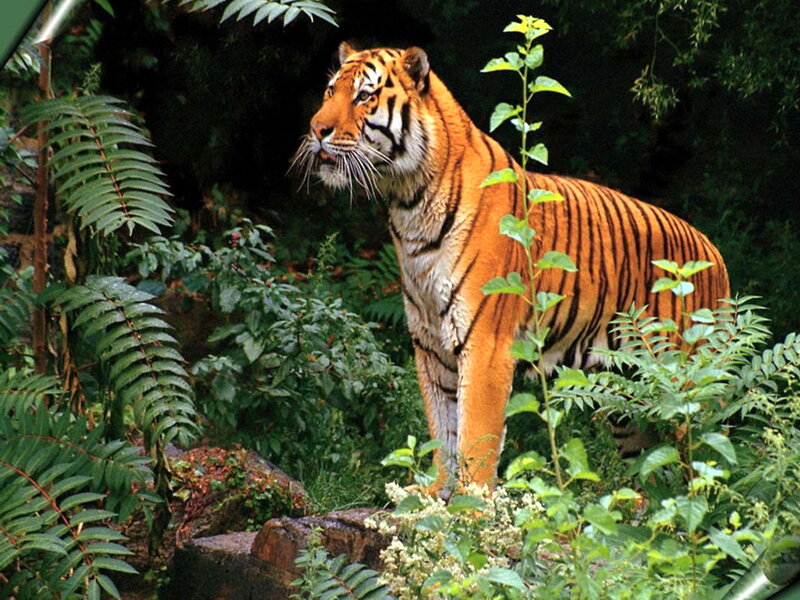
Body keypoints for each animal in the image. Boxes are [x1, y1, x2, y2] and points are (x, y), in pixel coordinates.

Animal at [293, 42, 730, 494]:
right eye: (330, 91)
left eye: (364, 96)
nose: (316, 129)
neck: (409, 202)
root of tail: (714, 253)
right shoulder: (430, 346)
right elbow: (442, 430)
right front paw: (434, 495)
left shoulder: (486, 344)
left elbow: (475, 437)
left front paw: (472, 504)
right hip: (628, 400)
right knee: (654, 475)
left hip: (684, 386)